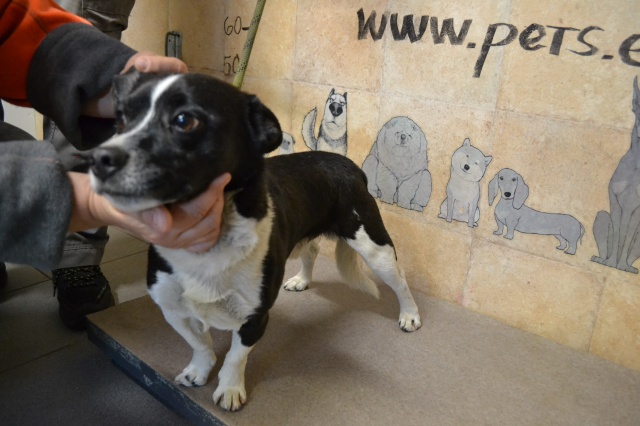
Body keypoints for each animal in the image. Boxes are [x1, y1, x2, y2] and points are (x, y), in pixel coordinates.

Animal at [88, 71, 422, 411]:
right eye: (121, 118)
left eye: (184, 120)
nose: (98, 159)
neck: (207, 241)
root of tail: (351, 166)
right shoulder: (172, 309)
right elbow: (200, 343)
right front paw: (199, 370)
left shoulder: (254, 316)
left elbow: (236, 357)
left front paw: (230, 389)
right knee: (312, 249)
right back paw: (302, 280)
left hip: (373, 245)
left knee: (400, 280)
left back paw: (410, 315)